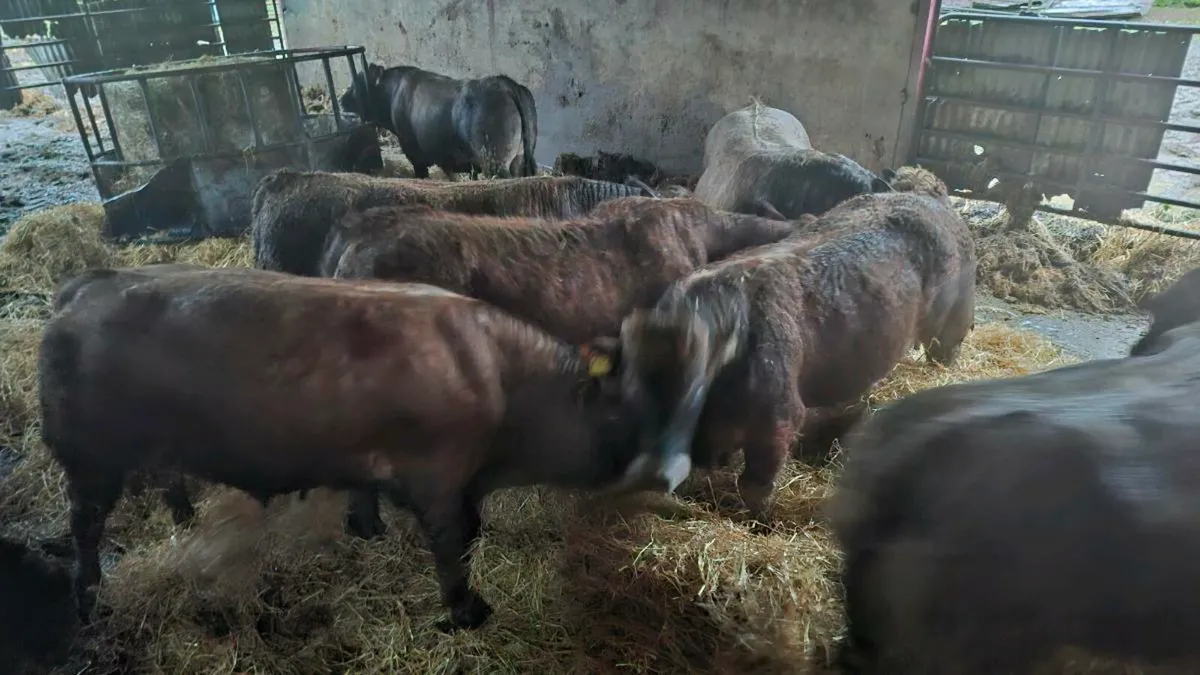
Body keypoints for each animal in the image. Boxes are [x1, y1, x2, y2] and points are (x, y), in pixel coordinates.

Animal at [40, 264, 644, 632]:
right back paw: (87, 595)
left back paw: (185, 520)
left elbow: (371, 493)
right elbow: (455, 541)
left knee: (164, 480)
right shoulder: (438, 475)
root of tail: (87, 285)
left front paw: (367, 526)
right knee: (84, 524)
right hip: (91, 456)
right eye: (621, 414)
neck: (497, 373)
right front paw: (466, 612)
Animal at [339, 62, 537, 180]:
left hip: (495, 161)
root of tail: (506, 83)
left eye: (356, 83)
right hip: (520, 158)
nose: (342, 100)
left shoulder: (415, 153)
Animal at [606, 189, 977, 515]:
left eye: (696, 385)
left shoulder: (779, 418)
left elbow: (756, 485)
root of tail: (933, 202)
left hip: (954, 321)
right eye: (631, 387)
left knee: (946, 351)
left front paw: (756, 521)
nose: (652, 474)